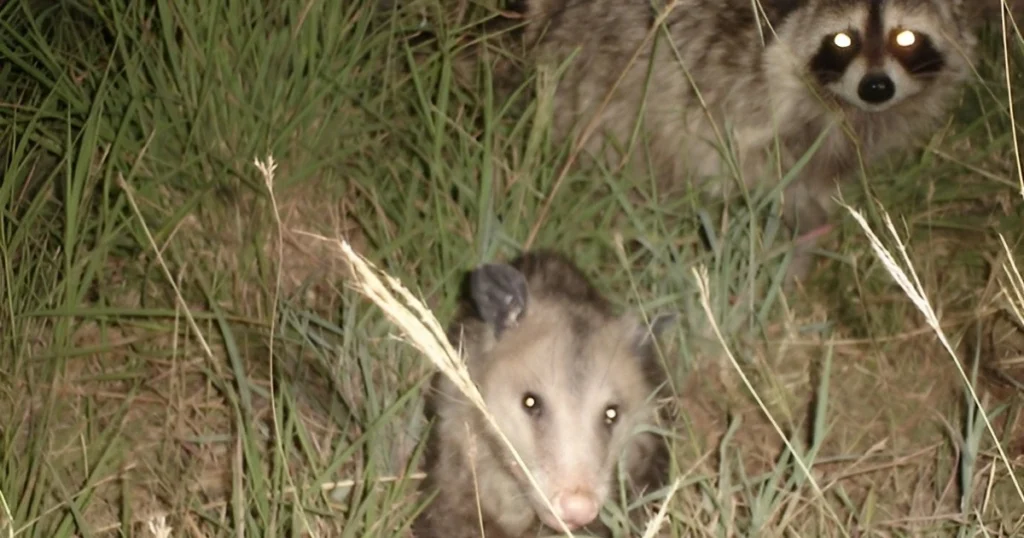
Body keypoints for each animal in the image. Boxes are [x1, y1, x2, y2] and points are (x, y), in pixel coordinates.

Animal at [425, 0, 999, 284]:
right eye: (843, 39)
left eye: (906, 37)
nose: (876, 86)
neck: (843, 106)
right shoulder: (735, 95)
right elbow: (740, 177)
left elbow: (818, 189)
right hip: (599, 74)